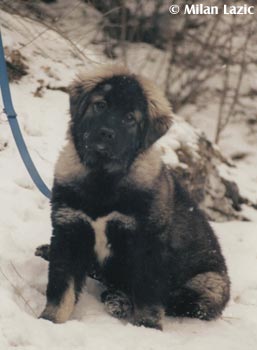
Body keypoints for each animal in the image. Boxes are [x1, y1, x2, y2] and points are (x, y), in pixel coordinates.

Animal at [37, 64, 229, 330]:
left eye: (130, 118)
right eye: (100, 105)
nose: (106, 134)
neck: (103, 178)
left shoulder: (146, 243)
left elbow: (148, 295)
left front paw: (148, 327)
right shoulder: (70, 230)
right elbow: (61, 287)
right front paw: (50, 321)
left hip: (211, 286)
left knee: (177, 300)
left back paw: (120, 300)